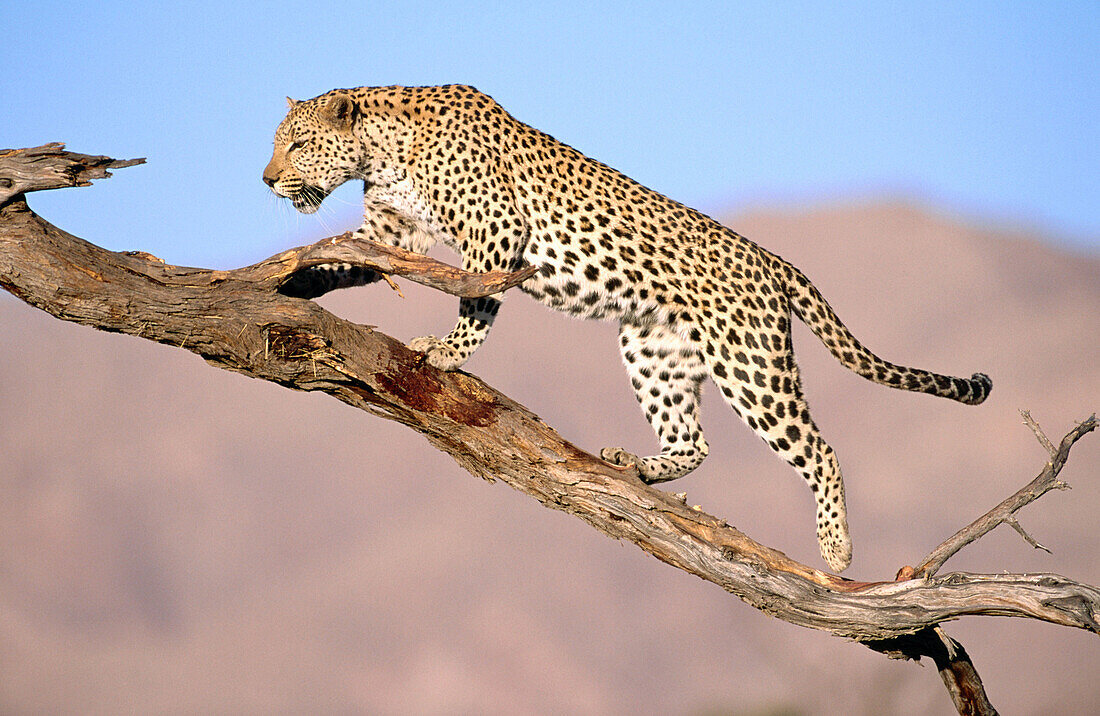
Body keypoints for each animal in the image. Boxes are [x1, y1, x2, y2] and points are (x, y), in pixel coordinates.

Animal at [261, 86, 994, 576]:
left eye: (296, 143)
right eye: (277, 142)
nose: (266, 179)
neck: (380, 151)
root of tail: (774, 261)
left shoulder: (498, 234)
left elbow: (475, 301)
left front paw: (447, 351)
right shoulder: (392, 233)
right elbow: (340, 258)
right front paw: (290, 278)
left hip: (751, 366)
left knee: (819, 449)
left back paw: (836, 548)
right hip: (651, 348)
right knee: (695, 441)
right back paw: (637, 465)